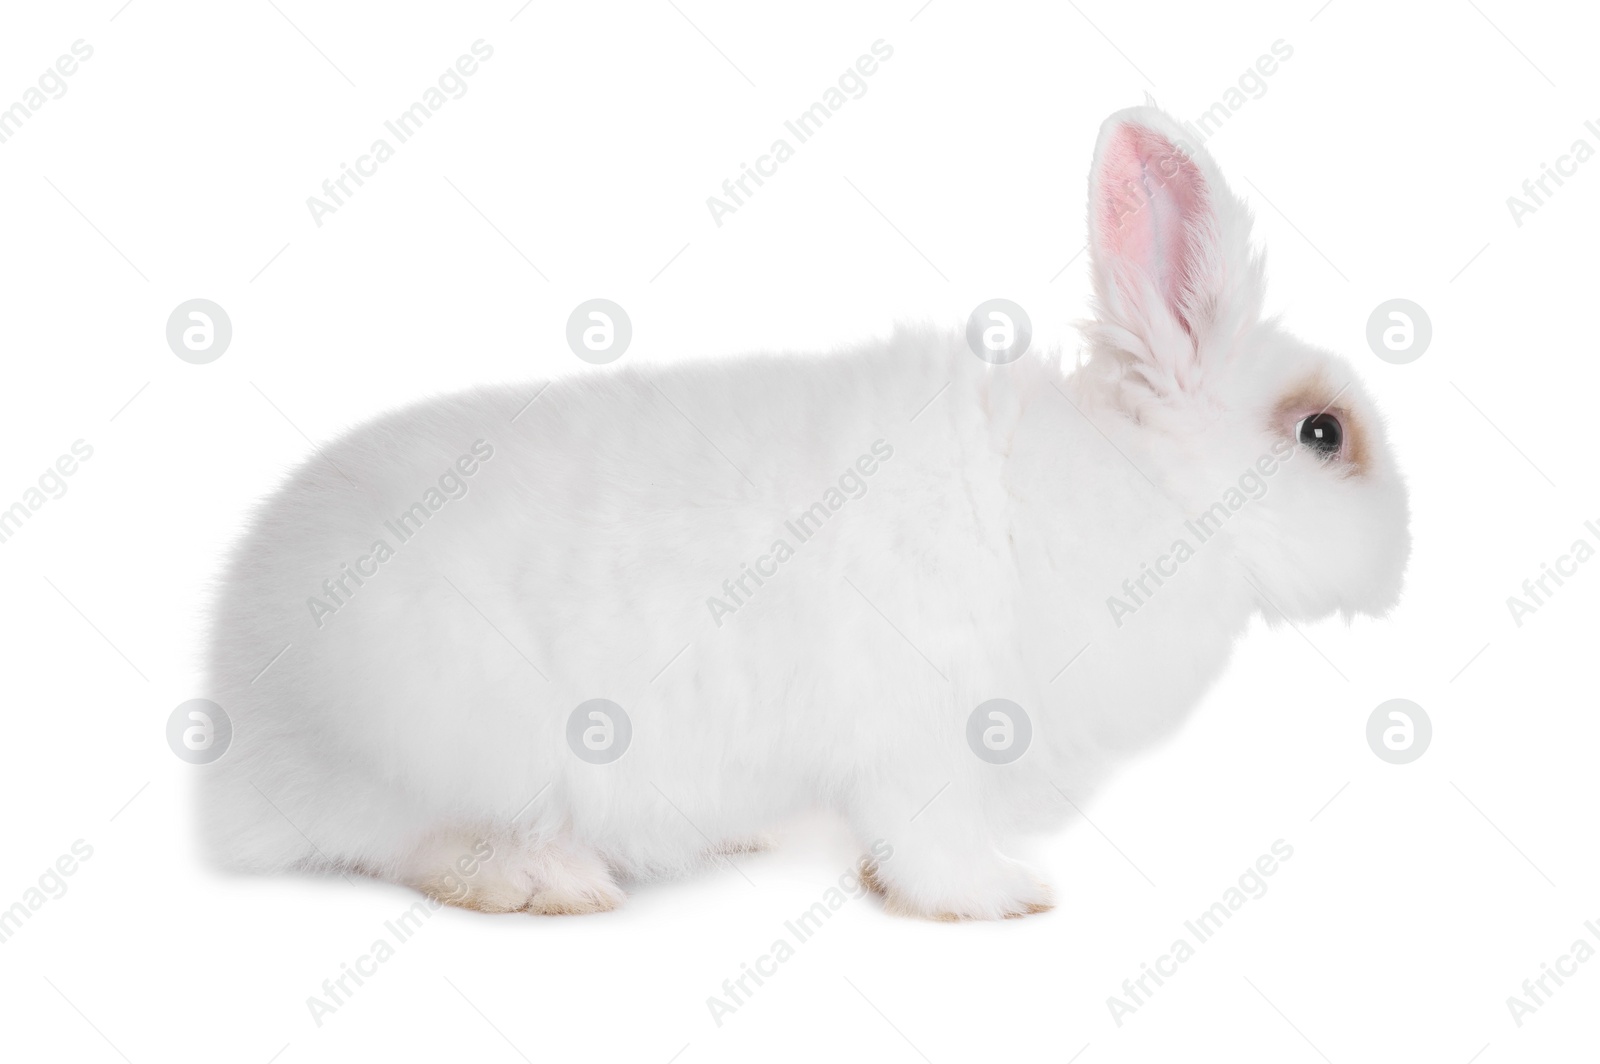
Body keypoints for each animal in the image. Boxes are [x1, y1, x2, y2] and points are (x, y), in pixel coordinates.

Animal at [203, 109, 1414, 921]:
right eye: (1323, 434)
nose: (1402, 562)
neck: (1148, 488)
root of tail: (236, 735)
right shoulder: (927, 741)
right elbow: (932, 843)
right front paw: (999, 898)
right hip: (439, 739)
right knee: (406, 844)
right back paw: (549, 877)